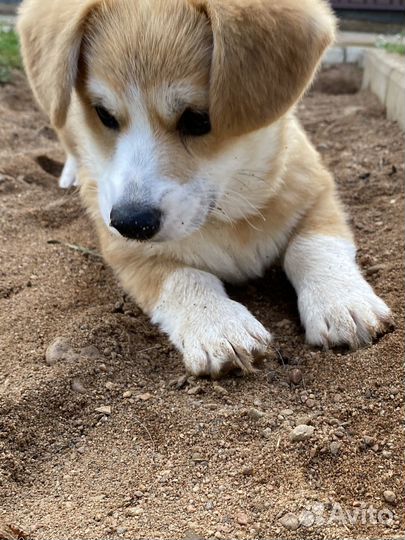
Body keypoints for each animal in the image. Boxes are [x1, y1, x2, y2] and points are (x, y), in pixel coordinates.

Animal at [17, 0, 392, 376]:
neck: (228, 213)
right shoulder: (126, 252)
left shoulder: (318, 194)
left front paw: (342, 303)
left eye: (198, 119)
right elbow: (183, 277)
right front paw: (219, 326)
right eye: (104, 115)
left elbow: (313, 246)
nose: (131, 223)